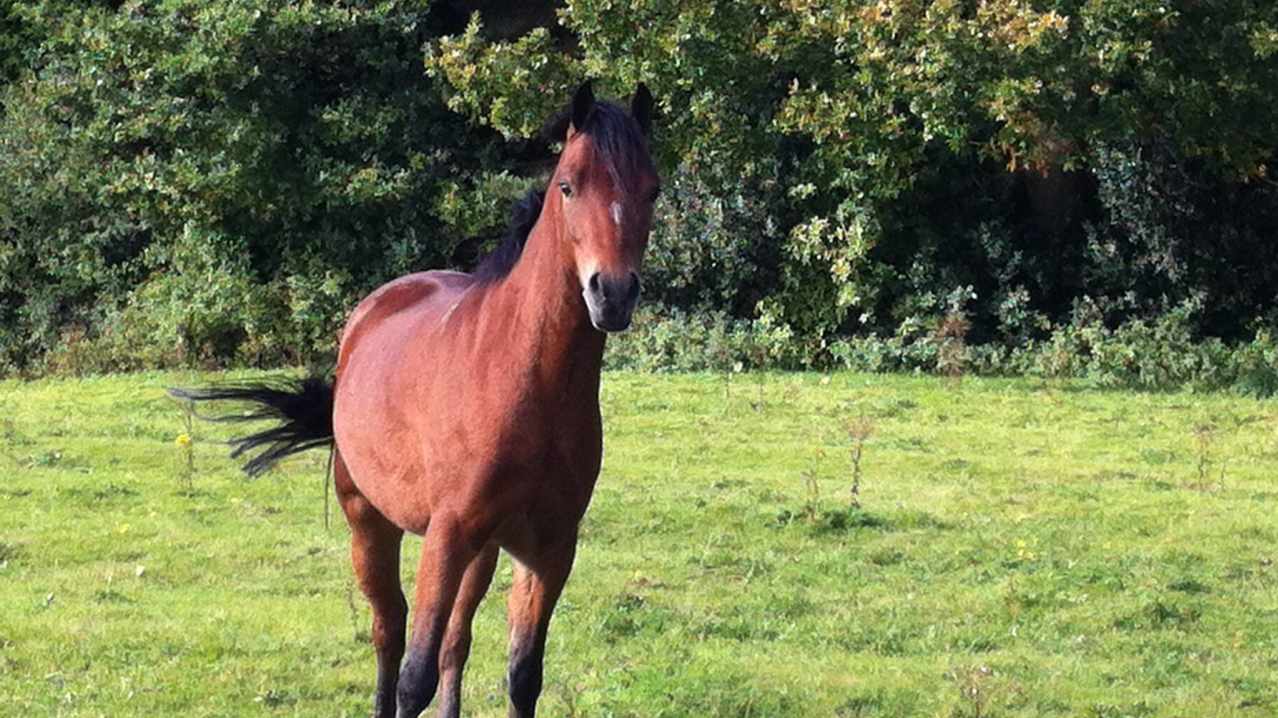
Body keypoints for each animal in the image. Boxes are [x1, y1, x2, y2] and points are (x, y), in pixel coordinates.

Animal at [173, 82, 659, 718]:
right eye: (568, 185)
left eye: (652, 189)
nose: (613, 292)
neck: (525, 381)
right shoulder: (447, 536)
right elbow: (414, 675)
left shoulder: (550, 547)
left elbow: (522, 674)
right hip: (369, 521)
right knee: (390, 630)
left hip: (482, 550)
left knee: (456, 638)